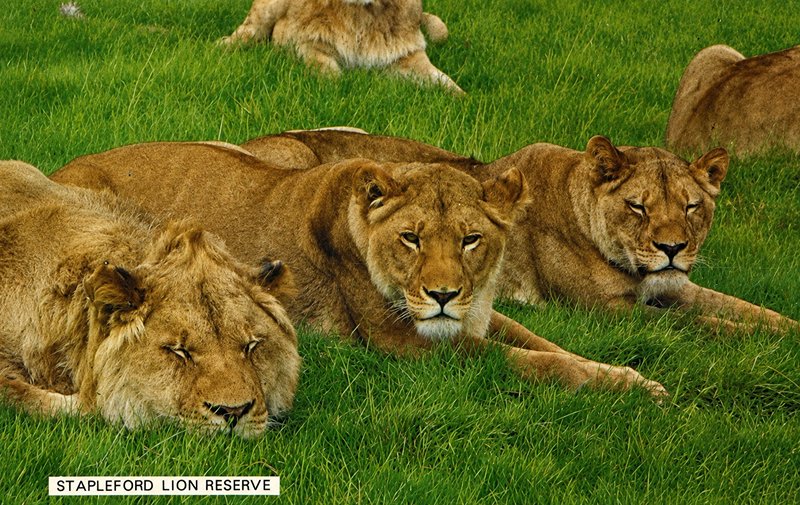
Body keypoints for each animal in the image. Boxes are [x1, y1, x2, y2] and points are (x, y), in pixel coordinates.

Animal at [52, 142, 667, 398]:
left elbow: (546, 344)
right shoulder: (406, 343)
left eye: (471, 239)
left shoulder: (475, 315)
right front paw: (632, 388)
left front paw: (631, 377)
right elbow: (534, 363)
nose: (442, 295)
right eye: (410, 238)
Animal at [219, 0, 463, 93]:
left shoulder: (407, 56)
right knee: (249, 31)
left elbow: (445, 81)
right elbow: (326, 72)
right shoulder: (303, 42)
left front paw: (463, 101)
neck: (362, 12)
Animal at [240, 129, 799, 334]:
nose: (672, 249)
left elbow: (750, 311)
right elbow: (709, 326)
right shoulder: (605, 311)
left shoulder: (677, 286)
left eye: (691, 207)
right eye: (637, 207)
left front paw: (784, 332)